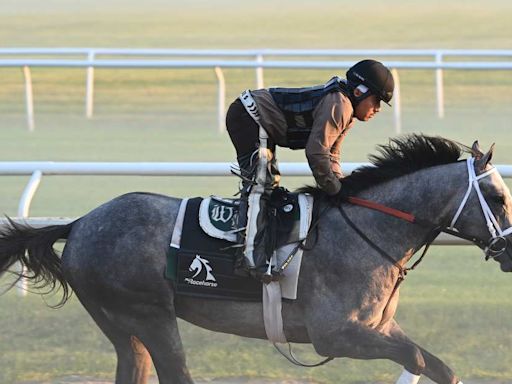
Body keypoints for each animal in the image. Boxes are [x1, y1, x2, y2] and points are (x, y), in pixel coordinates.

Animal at [1, 134, 512, 380]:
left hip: (121, 324)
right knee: (175, 372)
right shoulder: (336, 335)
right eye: (495, 195)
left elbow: (438, 367)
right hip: (148, 313)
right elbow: (420, 361)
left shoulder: (381, 328)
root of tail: (80, 224)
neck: (368, 230)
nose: (509, 249)